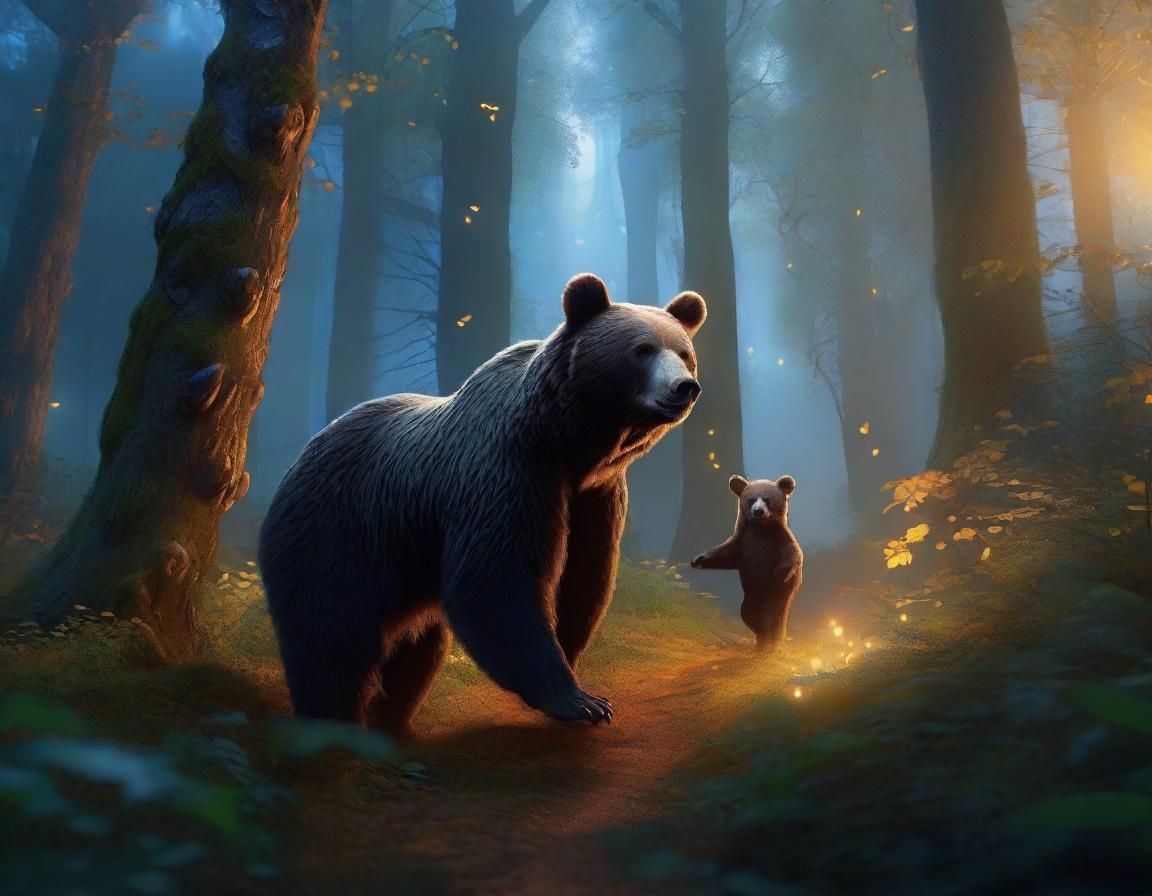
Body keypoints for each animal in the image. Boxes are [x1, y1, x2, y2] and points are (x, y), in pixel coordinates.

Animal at [258, 273, 706, 736]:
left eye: (685, 354)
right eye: (642, 350)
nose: (683, 387)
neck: (569, 443)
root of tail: (297, 463)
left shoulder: (595, 495)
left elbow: (585, 576)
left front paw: (573, 663)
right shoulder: (504, 471)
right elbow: (495, 579)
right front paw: (579, 701)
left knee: (417, 651)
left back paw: (394, 723)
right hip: (337, 537)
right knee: (333, 640)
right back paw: (335, 721)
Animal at [690, 475, 803, 653]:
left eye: (767, 499)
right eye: (751, 499)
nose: (758, 511)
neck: (761, 527)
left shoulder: (780, 541)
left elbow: (792, 555)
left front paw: (784, 572)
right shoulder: (743, 542)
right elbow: (725, 554)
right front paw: (698, 560)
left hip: (778, 593)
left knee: (776, 612)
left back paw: (773, 643)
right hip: (752, 595)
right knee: (748, 612)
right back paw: (761, 641)